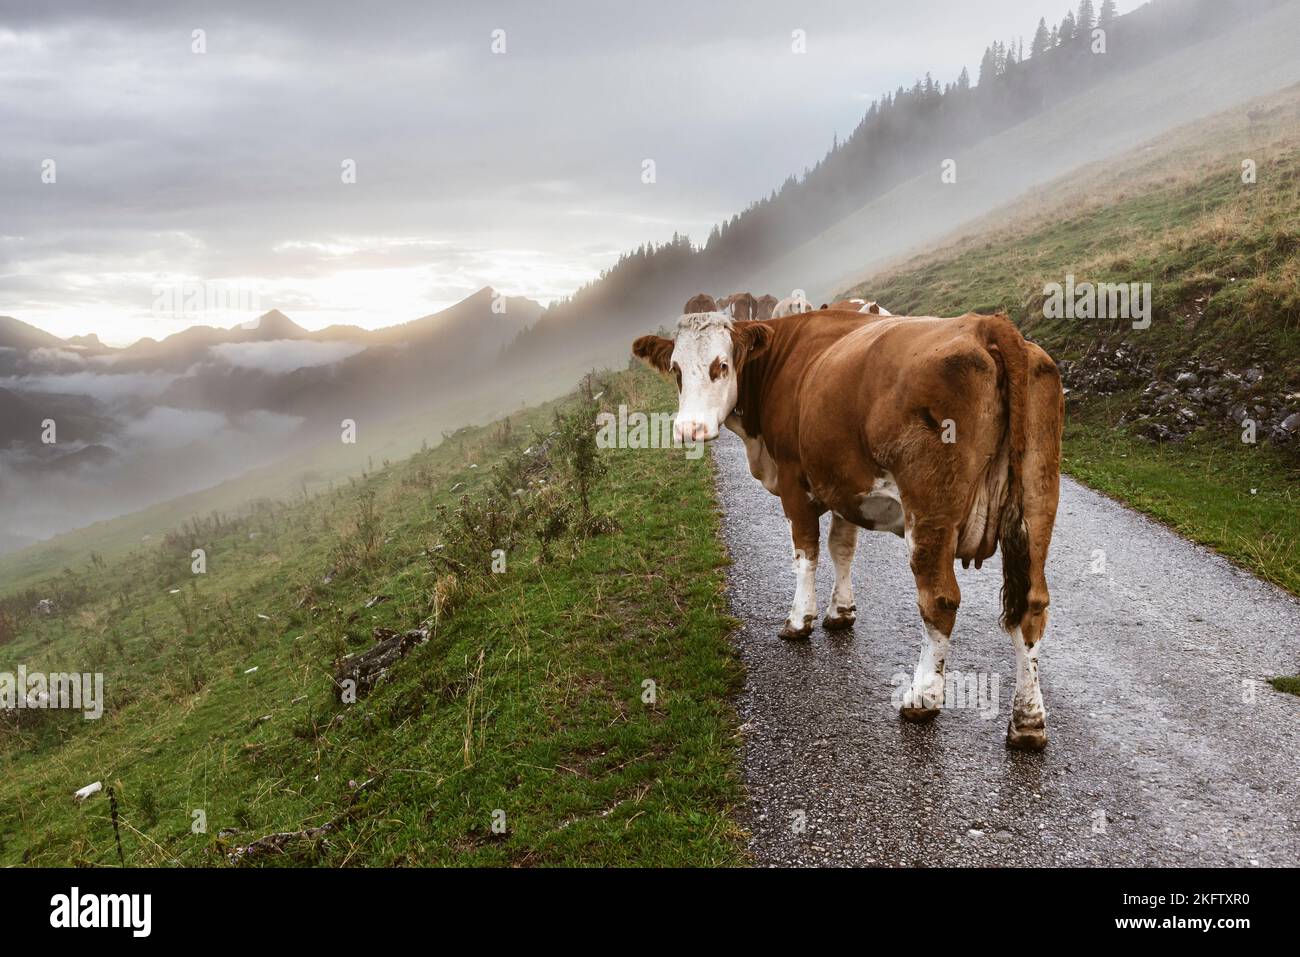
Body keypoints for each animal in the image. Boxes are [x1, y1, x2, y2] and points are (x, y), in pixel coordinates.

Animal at [631, 306, 1066, 748]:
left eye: (721, 364)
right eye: (675, 369)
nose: (690, 429)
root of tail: (986, 324)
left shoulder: (795, 482)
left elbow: (806, 554)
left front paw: (798, 621)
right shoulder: (842, 484)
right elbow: (842, 547)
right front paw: (840, 611)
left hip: (930, 507)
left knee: (940, 600)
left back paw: (923, 698)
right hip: (1038, 498)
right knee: (1031, 605)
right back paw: (1028, 720)